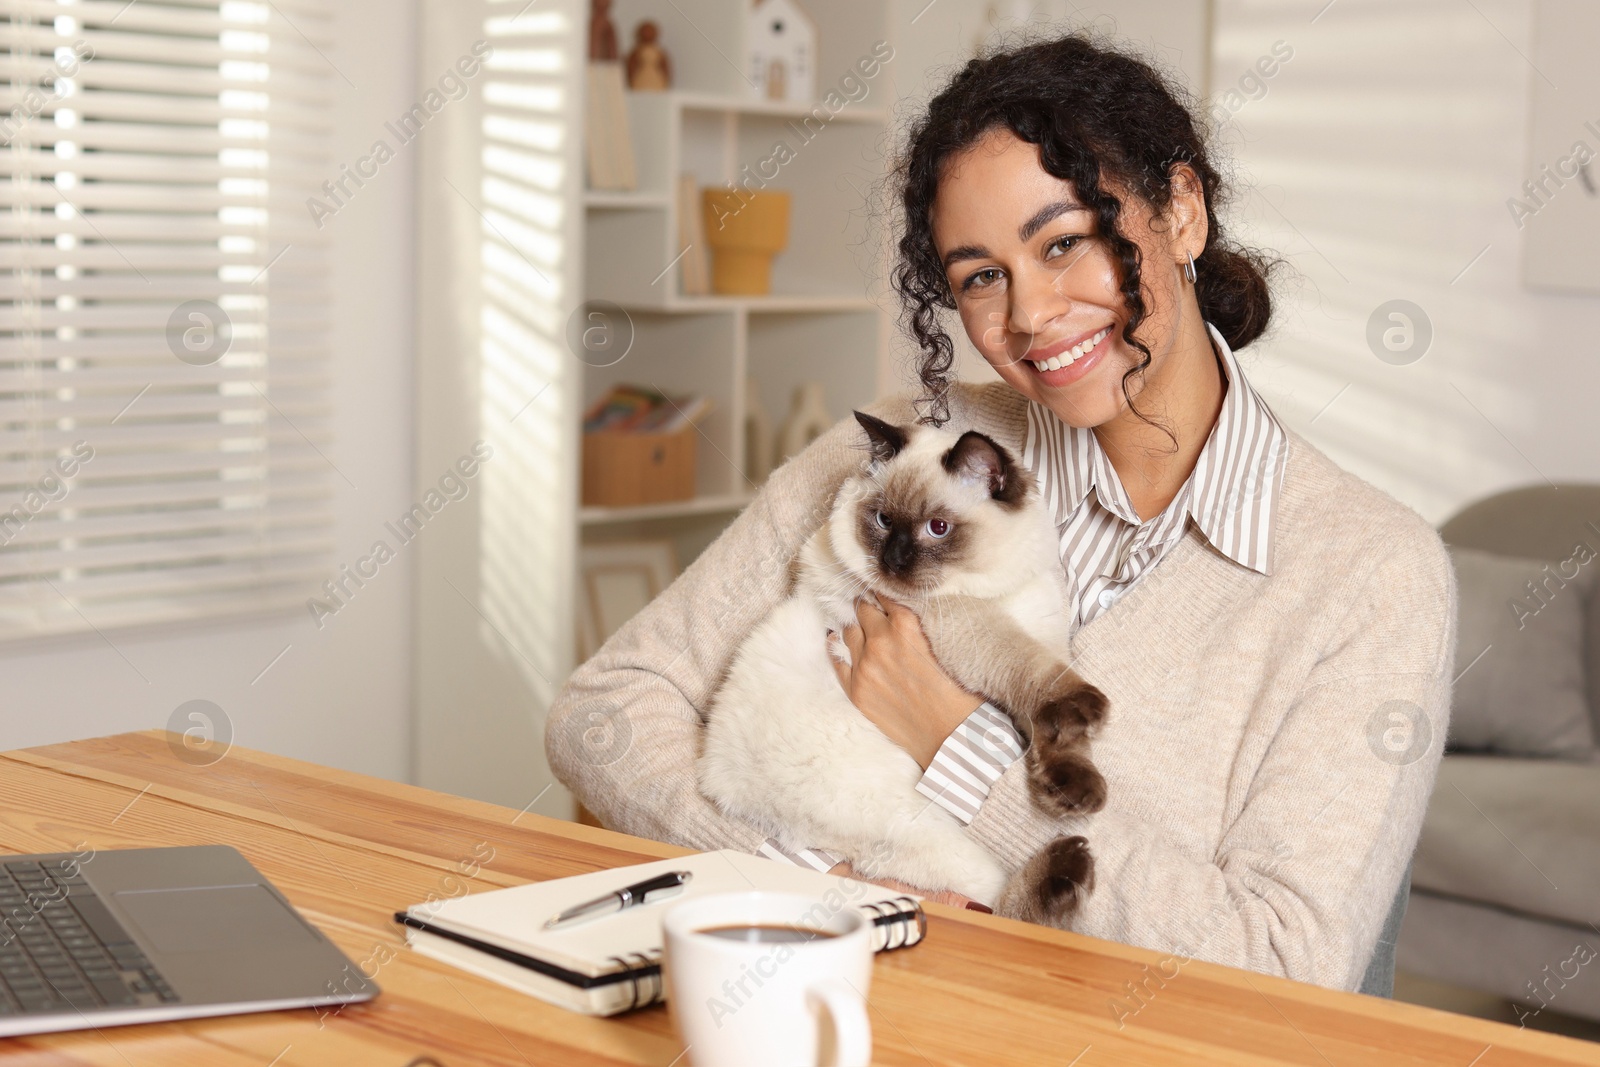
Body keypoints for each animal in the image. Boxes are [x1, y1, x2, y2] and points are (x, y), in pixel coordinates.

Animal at [700, 412, 1113, 921]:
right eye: (882, 521)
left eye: (937, 527)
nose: (893, 561)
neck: (1000, 587)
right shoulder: (961, 625)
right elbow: (1027, 667)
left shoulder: (1046, 652)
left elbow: (1058, 733)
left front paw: (1075, 793)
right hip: (921, 824)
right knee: (992, 902)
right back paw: (1065, 872)